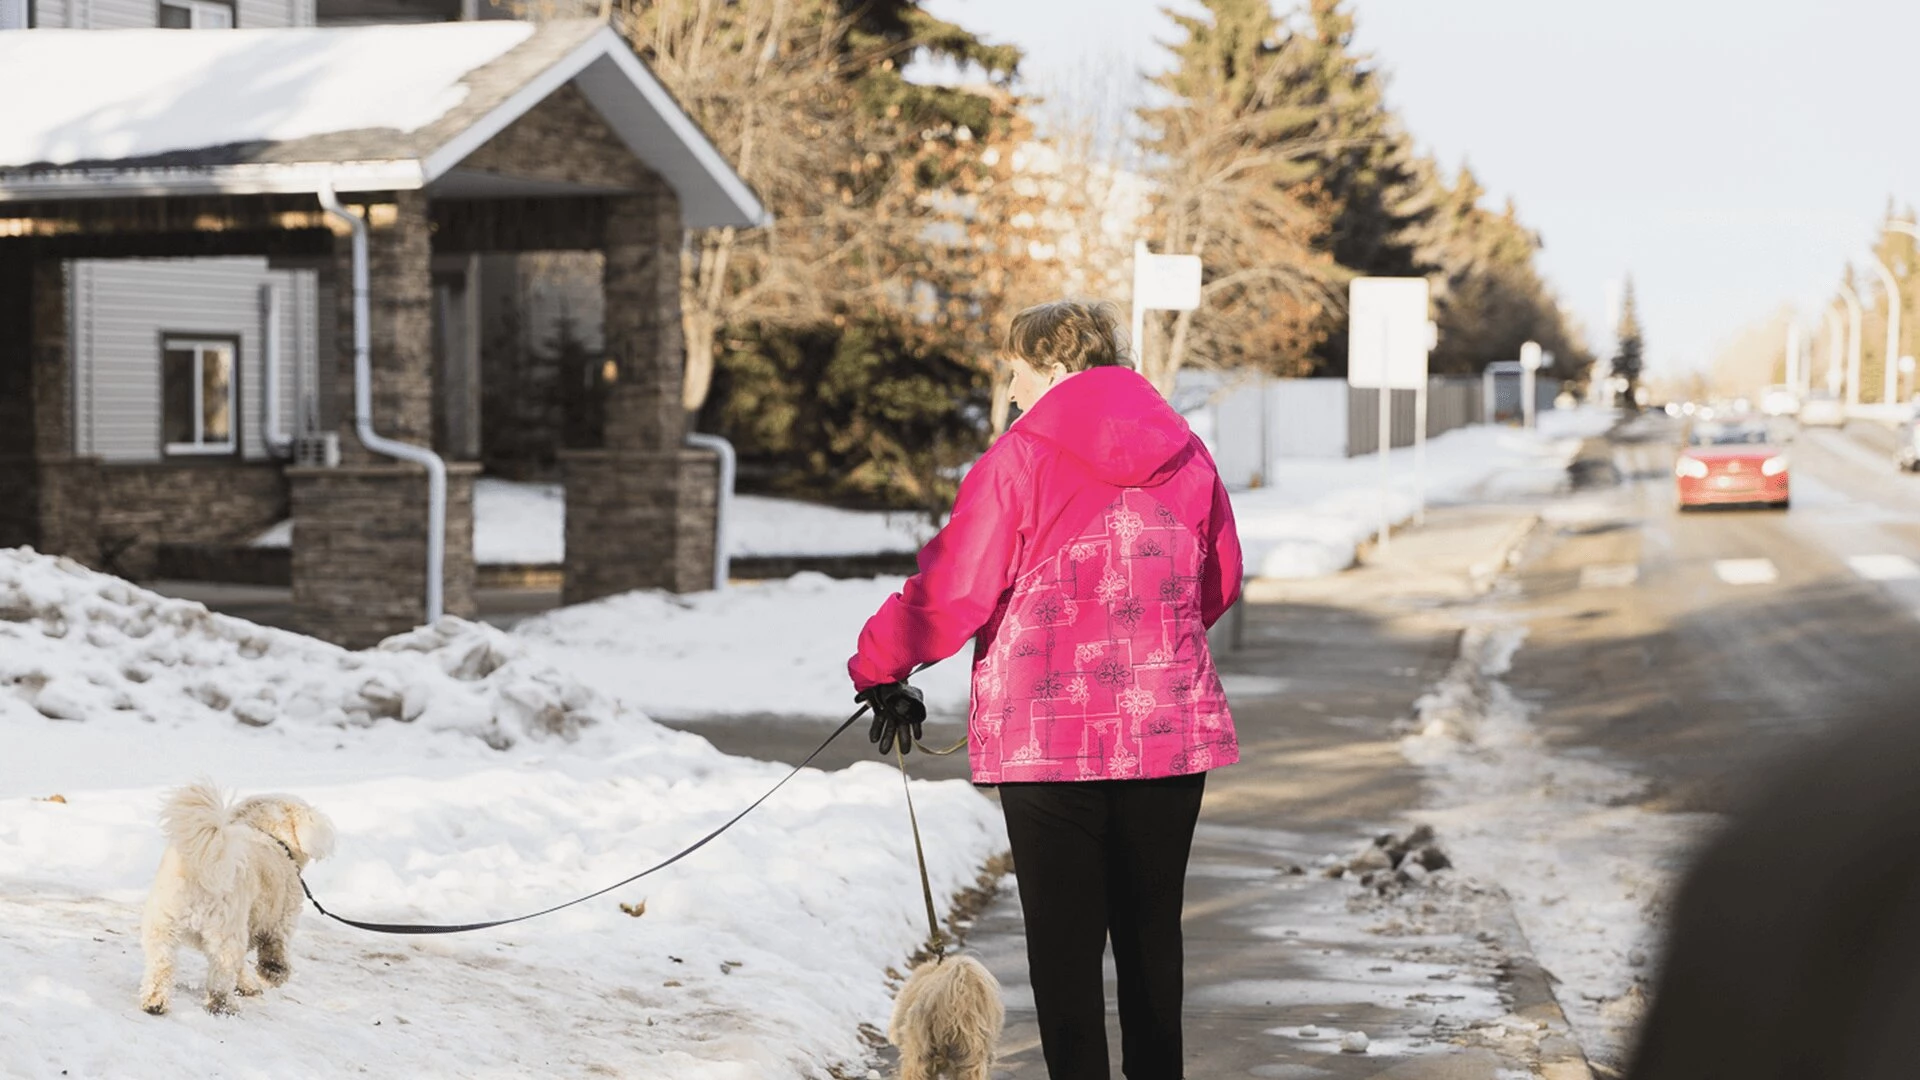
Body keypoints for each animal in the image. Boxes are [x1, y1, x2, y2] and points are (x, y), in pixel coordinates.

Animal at [140, 776, 337, 1014]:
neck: (271, 838)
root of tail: (201, 870)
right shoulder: (280, 923)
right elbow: (274, 953)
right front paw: (273, 974)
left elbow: (242, 967)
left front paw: (247, 985)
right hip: (226, 934)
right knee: (222, 974)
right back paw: (224, 1005)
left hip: (163, 925)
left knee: (160, 965)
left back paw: (155, 1001)